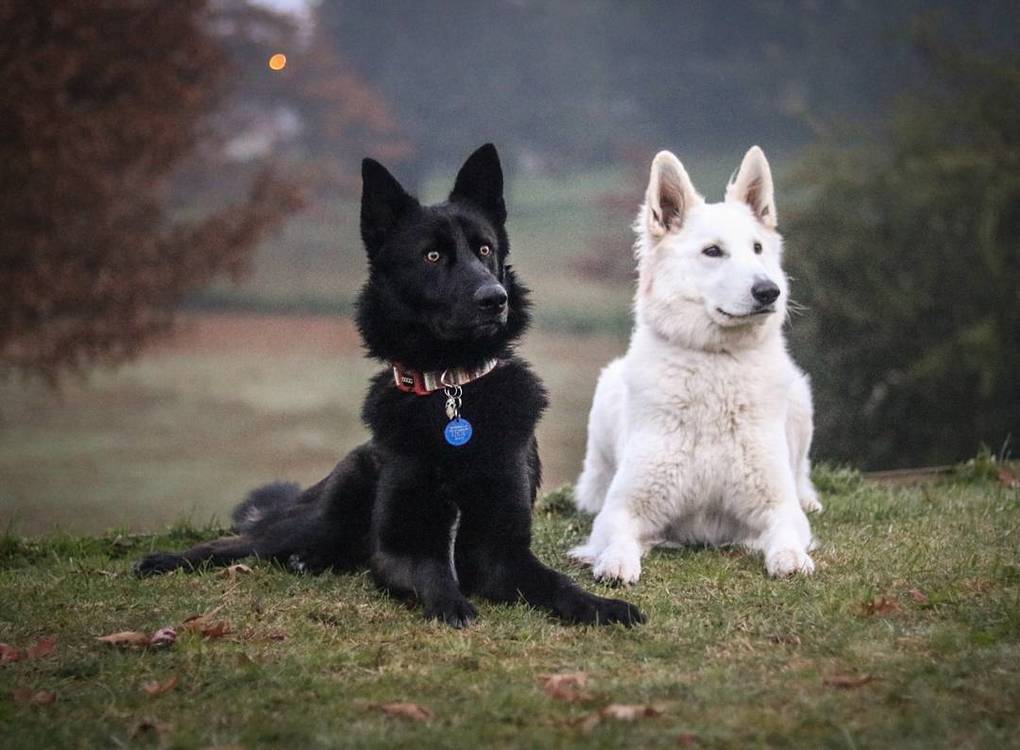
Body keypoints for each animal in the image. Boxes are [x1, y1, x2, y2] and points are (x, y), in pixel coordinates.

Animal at [135, 144, 644, 628]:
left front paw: (604, 606)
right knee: (243, 541)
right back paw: (168, 559)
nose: (494, 300)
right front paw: (453, 605)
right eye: (432, 256)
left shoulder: (502, 553)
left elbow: (558, 584)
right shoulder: (400, 549)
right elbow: (432, 570)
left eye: (484, 250)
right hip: (321, 517)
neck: (450, 391)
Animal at [571, 143, 824, 583]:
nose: (769, 291)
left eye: (757, 249)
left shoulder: (777, 504)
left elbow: (787, 531)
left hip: (800, 397)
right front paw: (616, 563)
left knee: (801, 475)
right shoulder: (623, 508)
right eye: (713, 251)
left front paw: (791, 558)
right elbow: (616, 536)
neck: (715, 364)